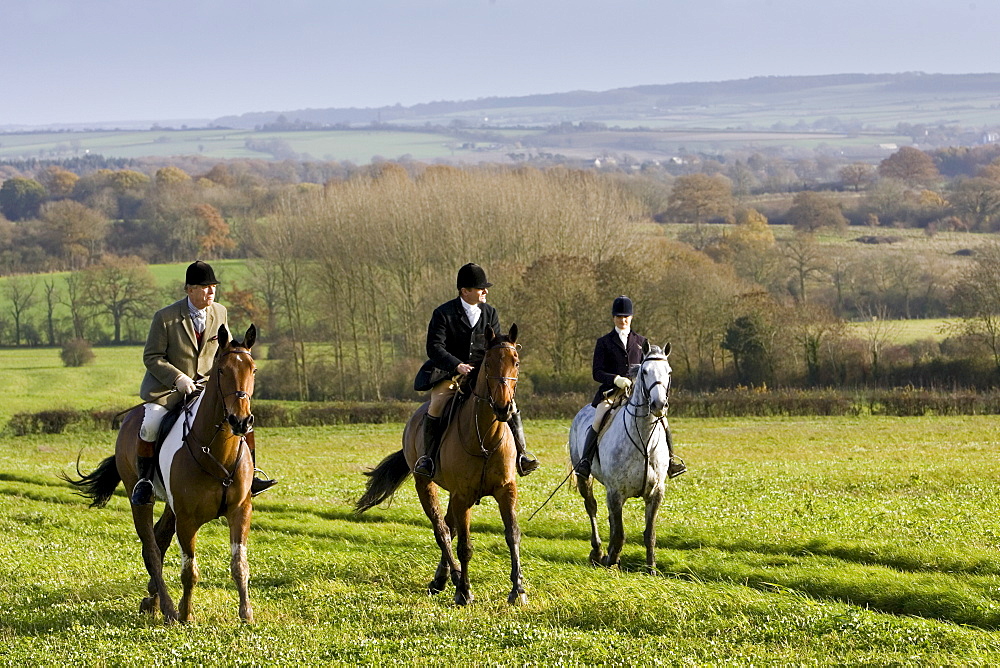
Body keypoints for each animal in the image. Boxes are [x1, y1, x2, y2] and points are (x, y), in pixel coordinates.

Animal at [62, 324, 258, 620]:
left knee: (159, 539)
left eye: (253, 369)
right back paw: (165, 607)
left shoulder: (240, 511)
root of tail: (130, 418)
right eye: (222, 370)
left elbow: (239, 564)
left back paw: (152, 599)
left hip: (170, 506)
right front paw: (186, 614)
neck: (217, 451)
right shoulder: (187, 519)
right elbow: (189, 571)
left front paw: (246, 614)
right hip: (142, 498)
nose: (241, 421)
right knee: (151, 548)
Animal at [360, 322, 532, 604]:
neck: (486, 436)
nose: (504, 408)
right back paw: (453, 578)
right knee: (442, 530)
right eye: (488, 364)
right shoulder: (463, 495)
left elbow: (512, 535)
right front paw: (464, 591)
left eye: (515, 362)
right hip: (425, 484)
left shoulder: (506, 490)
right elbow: (464, 546)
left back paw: (441, 580)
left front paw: (517, 590)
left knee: (448, 528)